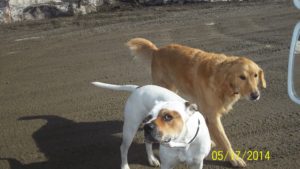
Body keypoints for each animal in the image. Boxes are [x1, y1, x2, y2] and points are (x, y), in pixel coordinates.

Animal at [126, 37, 268, 167]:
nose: (255, 95)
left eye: (255, 75)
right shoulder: (213, 116)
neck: (221, 80)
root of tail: (157, 50)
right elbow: (225, 140)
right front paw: (234, 159)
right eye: (242, 77)